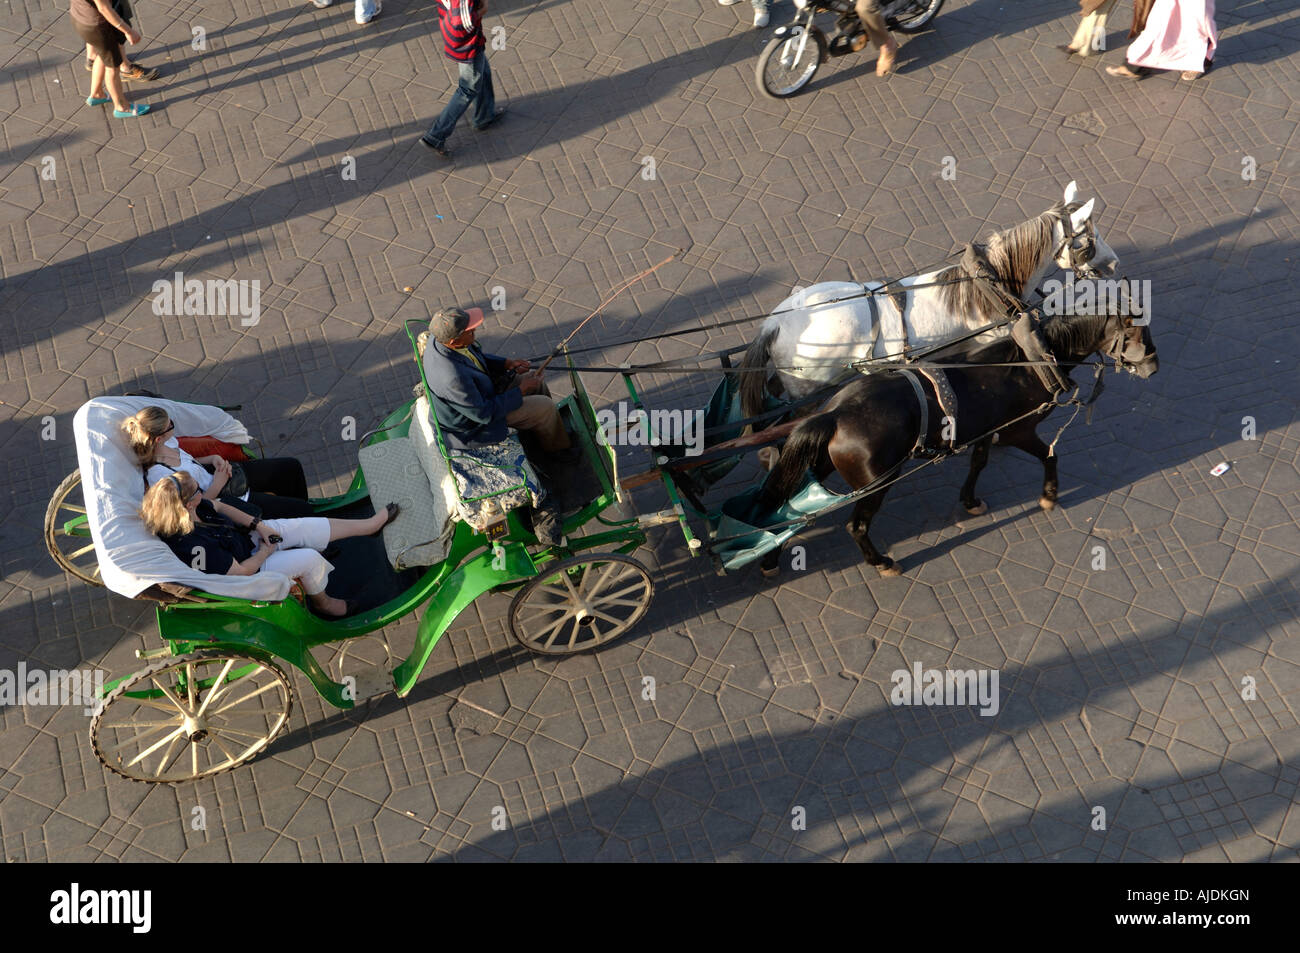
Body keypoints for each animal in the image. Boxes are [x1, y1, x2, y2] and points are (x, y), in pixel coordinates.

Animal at [738, 180, 1123, 413]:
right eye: (1089, 236)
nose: (1114, 262)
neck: (988, 285)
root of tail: (774, 324)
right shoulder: (990, 346)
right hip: (806, 389)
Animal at [759, 310, 1159, 572]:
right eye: (1138, 336)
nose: (1153, 368)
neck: (1032, 360)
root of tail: (835, 412)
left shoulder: (986, 430)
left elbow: (979, 462)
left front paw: (970, 500)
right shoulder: (1018, 430)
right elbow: (1050, 455)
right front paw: (1049, 495)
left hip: (821, 464)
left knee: (786, 505)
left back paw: (770, 557)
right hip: (877, 481)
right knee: (855, 526)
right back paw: (882, 562)